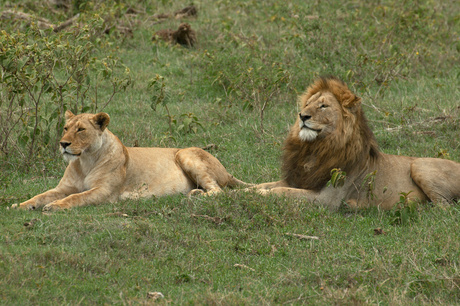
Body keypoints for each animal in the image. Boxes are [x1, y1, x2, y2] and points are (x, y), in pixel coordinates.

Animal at [12, 111, 246, 212]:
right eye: (66, 127)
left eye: (81, 130)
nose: (63, 143)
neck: (85, 161)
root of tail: (227, 171)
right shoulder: (63, 188)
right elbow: (41, 195)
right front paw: (19, 205)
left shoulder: (105, 192)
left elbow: (77, 197)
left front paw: (54, 206)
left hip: (185, 154)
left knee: (218, 191)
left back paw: (196, 196)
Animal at [253, 77, 458, 210]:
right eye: (307, 104)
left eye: (323, 106)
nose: (302, 116)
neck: (315, 149)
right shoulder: (298, 179)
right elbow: (266, 184)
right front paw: (247, 189)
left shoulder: (327, 198)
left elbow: (281, 191)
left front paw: (257, 195)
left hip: (419, 165)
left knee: (444, 207)